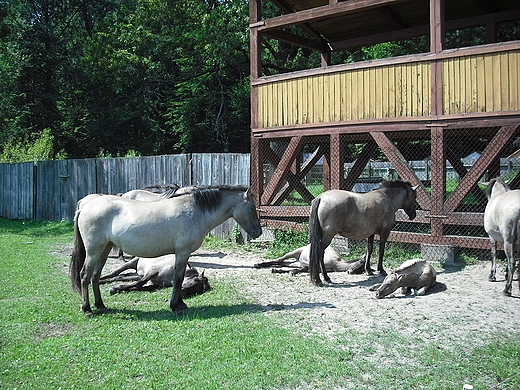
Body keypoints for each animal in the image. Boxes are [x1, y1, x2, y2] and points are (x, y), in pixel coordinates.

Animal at [71, 184, 262, 316]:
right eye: (252, 208)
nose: (259, 232)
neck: (196, 211)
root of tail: (85, 206)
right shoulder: (182, 253)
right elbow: (177, 279)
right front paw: (175, 306)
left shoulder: (183, 255)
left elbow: (180, 277)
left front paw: (180, 303)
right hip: (93, 252)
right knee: (85, 276)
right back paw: (87, 309)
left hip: (104, 250)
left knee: (95, 276)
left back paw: (101, 305)